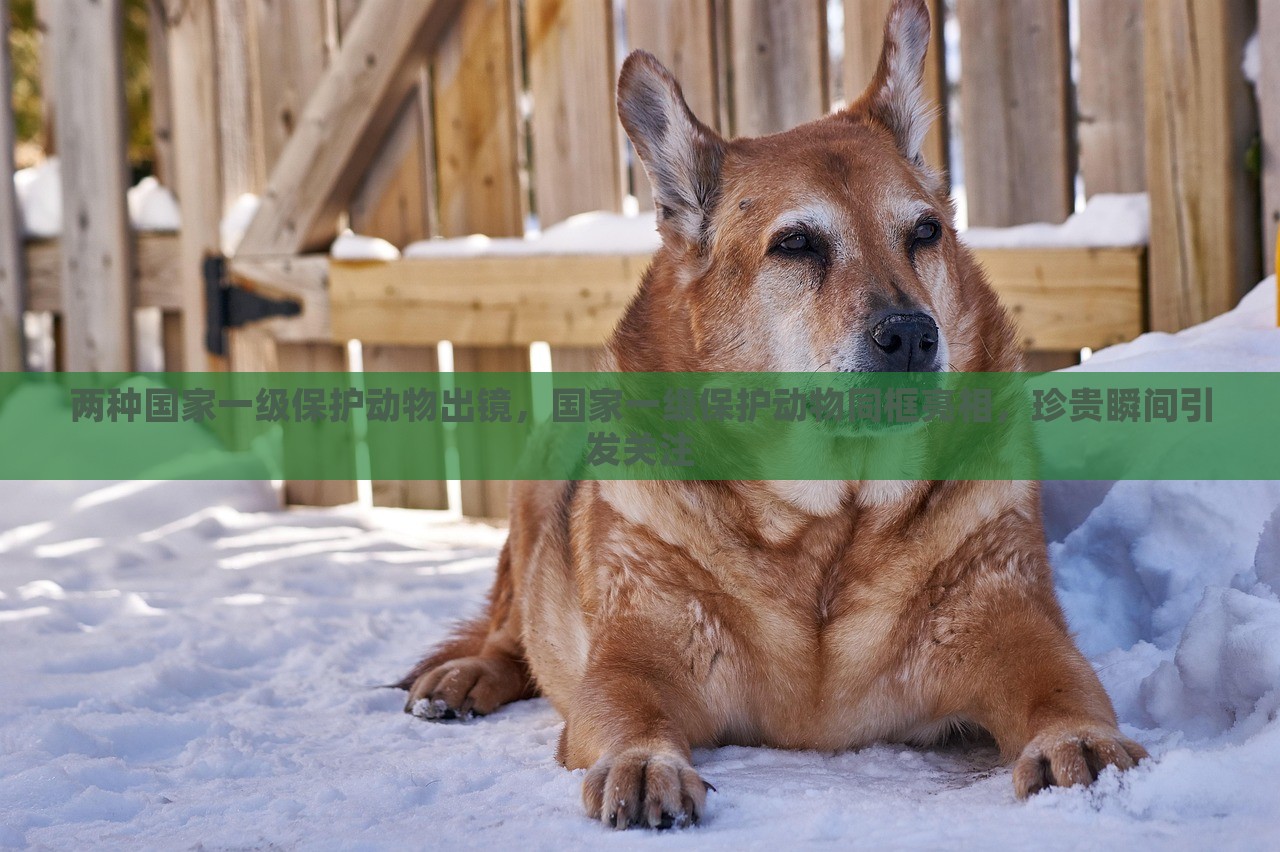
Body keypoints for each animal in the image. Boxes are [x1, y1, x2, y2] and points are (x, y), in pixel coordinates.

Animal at [394, 0, 1146, 823]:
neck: (828, 525)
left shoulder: (1014, 625)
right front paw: (644, 761)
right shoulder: (636, 655)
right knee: (510, 627)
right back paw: (467, 675)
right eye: (796, 244)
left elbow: (1062, 685)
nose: (913, 336)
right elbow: (625, 706)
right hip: (535, 489)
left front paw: (1078, 740)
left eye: (925, 233)